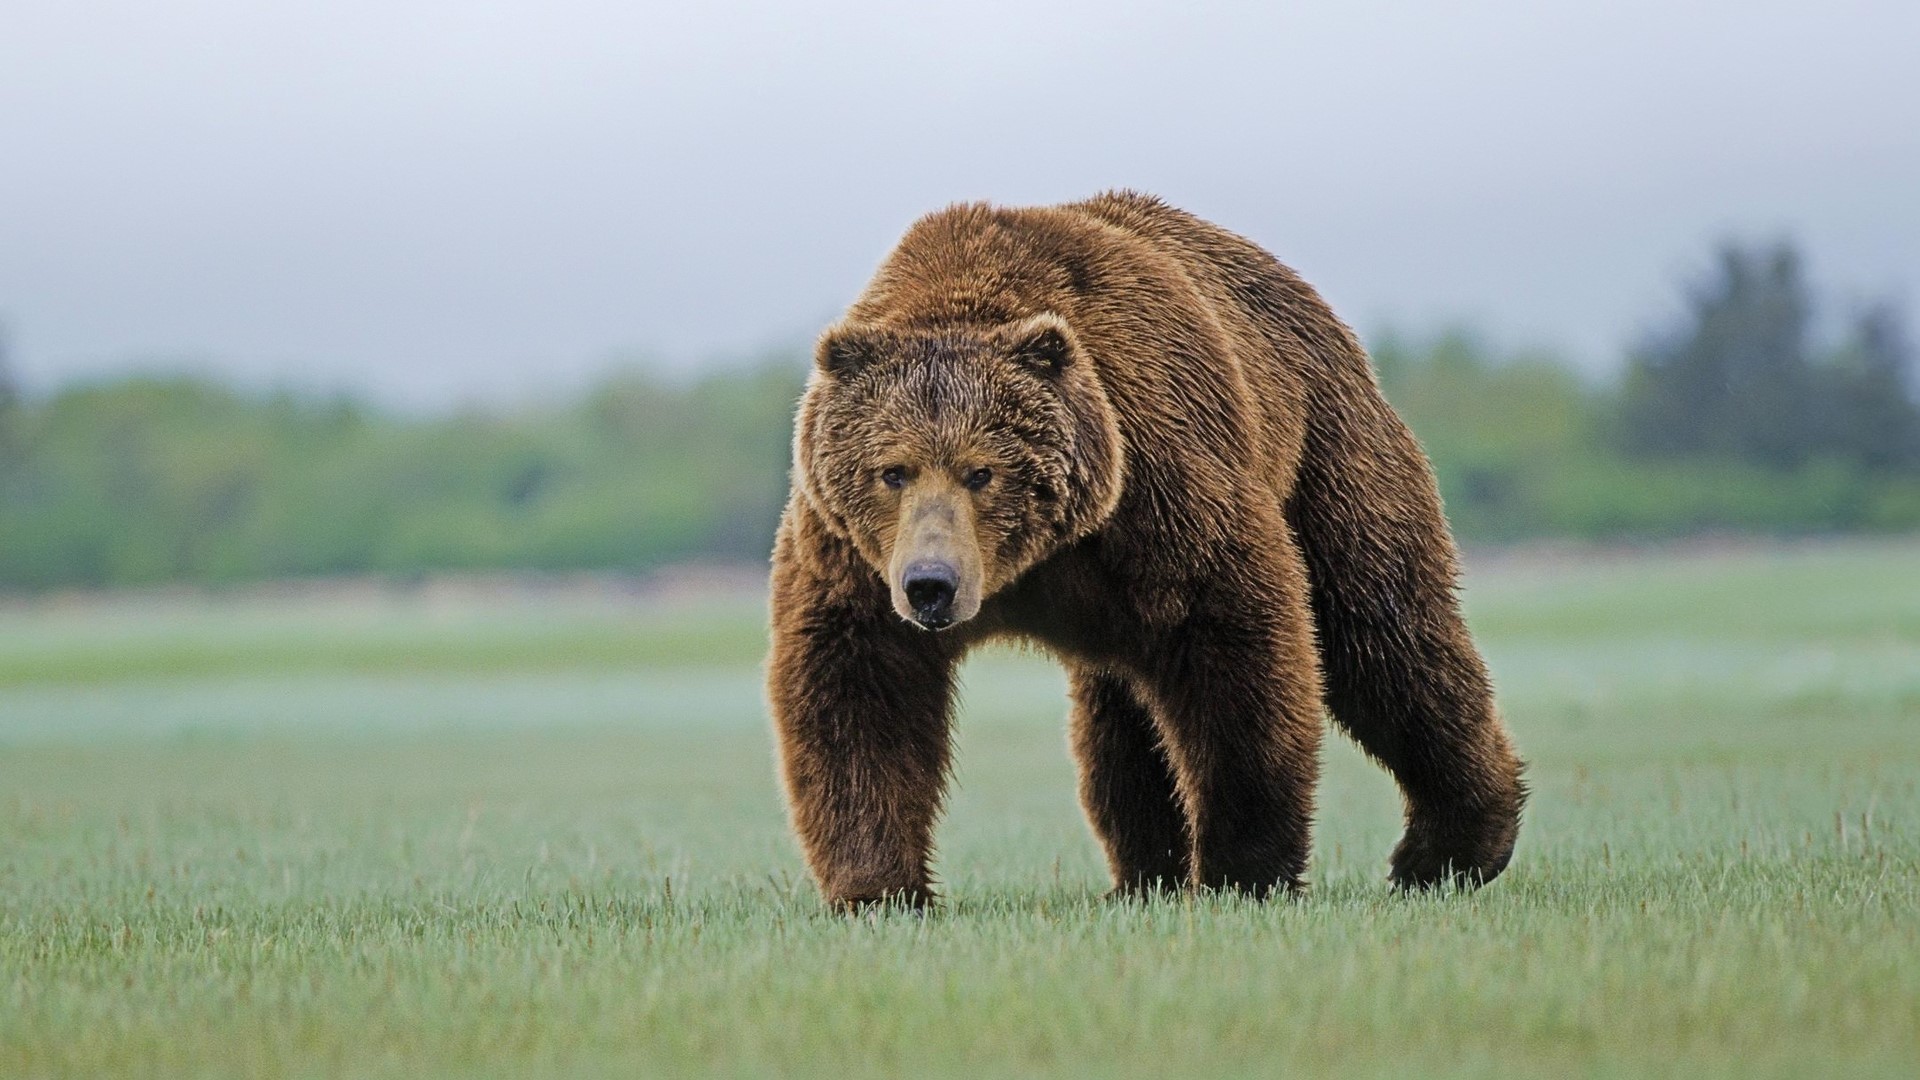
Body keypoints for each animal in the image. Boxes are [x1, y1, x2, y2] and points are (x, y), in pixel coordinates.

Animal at [768, 191, 1524, 908]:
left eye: (982, 471)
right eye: (893, 470)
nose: (932, 584)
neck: (1034, 563)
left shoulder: (1161, 487)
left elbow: (1238, 653)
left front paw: (1242, 870)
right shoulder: (853, 557)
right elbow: (860, 691)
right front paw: (879, 888)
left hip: (1327, 451)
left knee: (1384, 634)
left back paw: (1449, 849)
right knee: (1121, 719)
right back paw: (1144, 873)